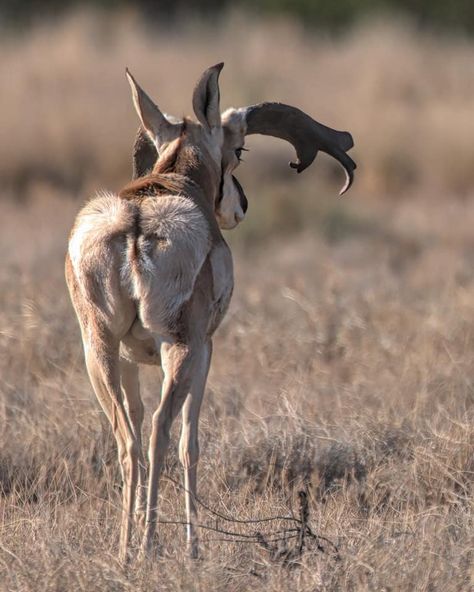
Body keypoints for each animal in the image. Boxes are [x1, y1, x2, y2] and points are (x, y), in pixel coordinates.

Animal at [65, 62, 354, 560]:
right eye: (239, 149)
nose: (241, 207)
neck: (175, 181)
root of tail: (135, 224)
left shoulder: (128, 357)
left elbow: (136, 422)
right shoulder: (207, 349)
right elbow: (191, 442)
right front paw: (192, 544)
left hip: (98, 350)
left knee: (127, 438)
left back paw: (125, 548)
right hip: (180, 350)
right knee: (162, 431)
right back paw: (155, 545)